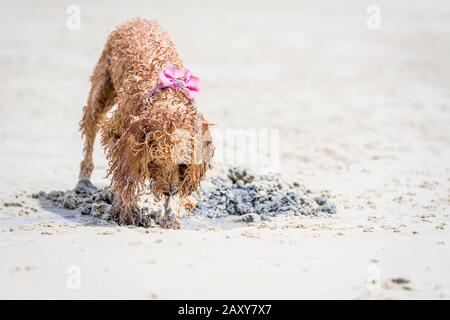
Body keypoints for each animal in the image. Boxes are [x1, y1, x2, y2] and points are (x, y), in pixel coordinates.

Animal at [78, 18, 214, 228]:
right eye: (154, 161)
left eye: (182, 163)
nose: (169, 191)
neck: (165, 97)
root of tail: (137, 19)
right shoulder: (117, 135)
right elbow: (126, 176)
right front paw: (126, 210)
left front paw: (172, 212)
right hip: (100, 92)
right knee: (90, 128)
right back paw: (84, 179)